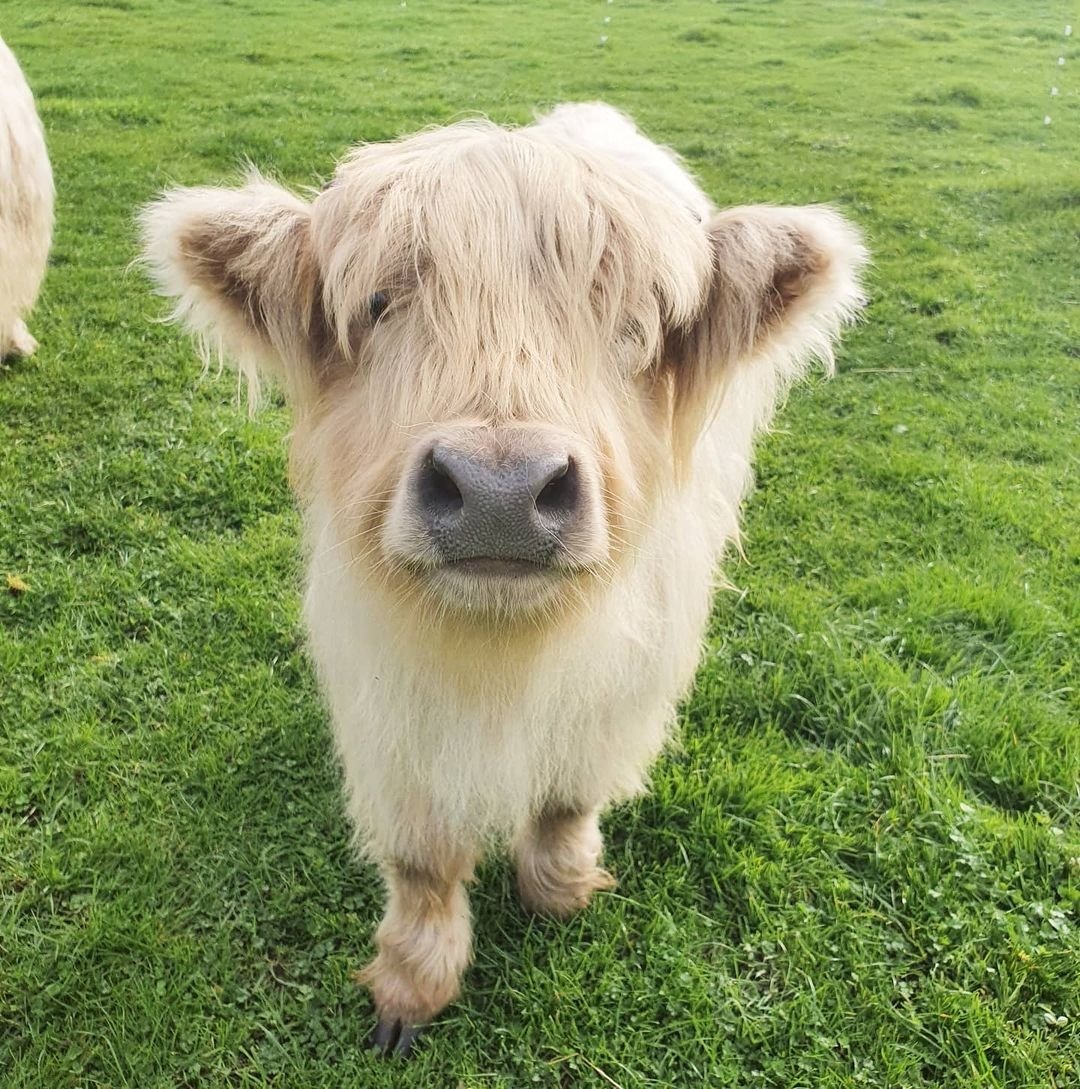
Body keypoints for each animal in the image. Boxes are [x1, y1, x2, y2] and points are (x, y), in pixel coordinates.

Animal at [141, 102, 870, 1054]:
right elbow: (422, 859)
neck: (499, 661)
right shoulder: (388, 699)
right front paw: (412, 984)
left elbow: (567, 797)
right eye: (377, 304)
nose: (499, 493)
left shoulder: (625, 684)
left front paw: (561, 888)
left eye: (635, 319)